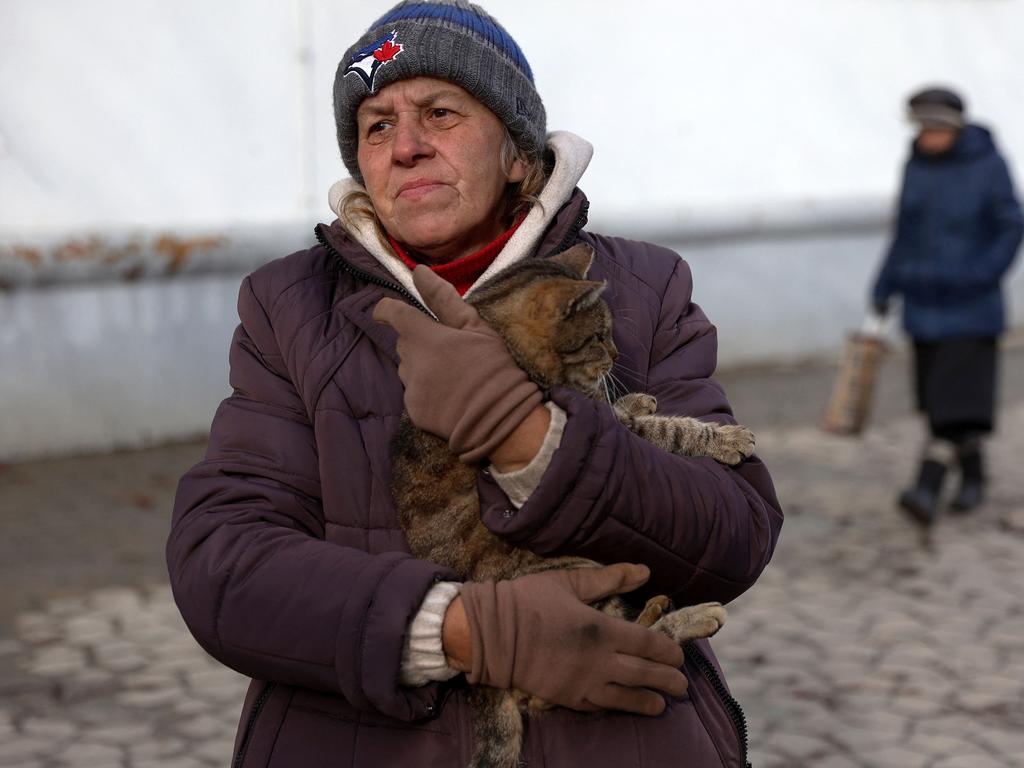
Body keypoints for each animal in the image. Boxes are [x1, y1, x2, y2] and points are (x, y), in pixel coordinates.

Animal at [387, 241, 757, 768]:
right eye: (600, 336)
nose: (617, 354)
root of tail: (480, 673)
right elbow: (669, 431)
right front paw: (723, 437)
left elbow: (621, 413)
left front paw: (635, 399)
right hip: (574, 583)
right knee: (609, 660)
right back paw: (688, 617)